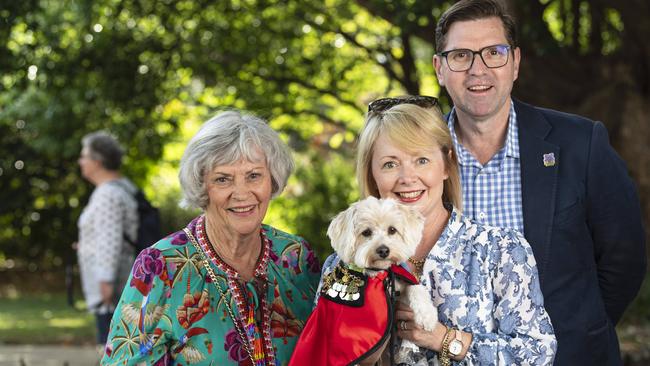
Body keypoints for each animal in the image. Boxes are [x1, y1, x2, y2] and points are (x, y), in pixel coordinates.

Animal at [326, 196, 438, 362]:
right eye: (366, 232)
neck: (379, 274)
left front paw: (427, 316)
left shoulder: (398, 288)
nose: (383, 250)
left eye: (392, 230)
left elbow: (416, 287)